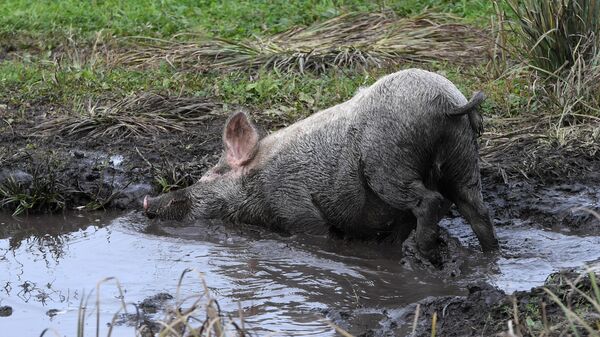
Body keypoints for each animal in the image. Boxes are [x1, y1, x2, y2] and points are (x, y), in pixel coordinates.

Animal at [143, 68, 500, 262]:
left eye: (211, 174)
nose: (147, 201)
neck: (258, 191)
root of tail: (448, 101)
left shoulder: (295, 205)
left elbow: (319, 233)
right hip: (463, 156)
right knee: (477, 209)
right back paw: (491, 254)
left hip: (389, 161)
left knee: (431, 201)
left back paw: (420, 251)